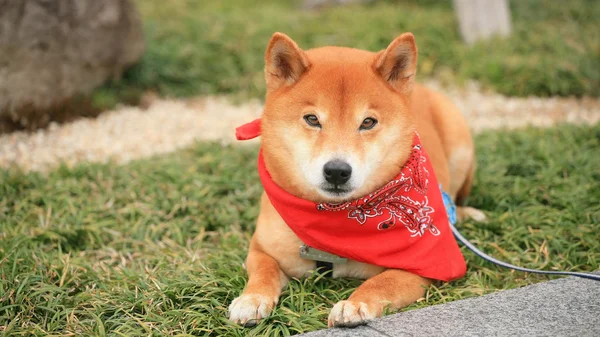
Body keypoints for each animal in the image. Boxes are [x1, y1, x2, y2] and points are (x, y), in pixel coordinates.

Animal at [227, 31, 486, 326]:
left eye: (368, 122)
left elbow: (383, 283)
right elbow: (264, 269)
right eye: (312, 119)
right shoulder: (261, 248)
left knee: (454, 199)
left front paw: (355, 304)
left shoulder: (423, 267)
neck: (330, 220)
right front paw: (251, 299)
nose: (337, 171)